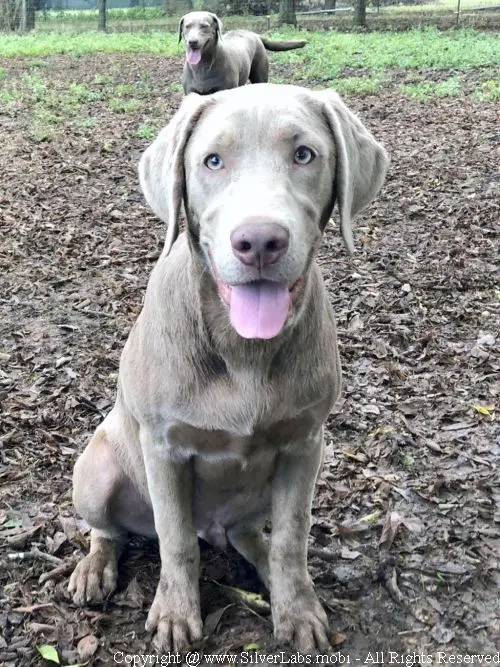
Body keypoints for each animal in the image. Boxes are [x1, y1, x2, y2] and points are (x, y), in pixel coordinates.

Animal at [68, 83, 388, 652]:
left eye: (304, 154)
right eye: (212, 161)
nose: (259, 241)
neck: (244, 351)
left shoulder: (305, 444)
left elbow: (292, 538)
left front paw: (297, 610)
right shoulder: (164, 447)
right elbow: (176, 542)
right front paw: (175, 617)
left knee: (250, 534)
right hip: (98, 468)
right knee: (110, 530)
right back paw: (94, 569)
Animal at [178, 11, 306, 94]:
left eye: (204, 26)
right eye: (187, 26)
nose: (192, 42)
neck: (203, 66)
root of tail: (254, 34)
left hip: (260, 74)